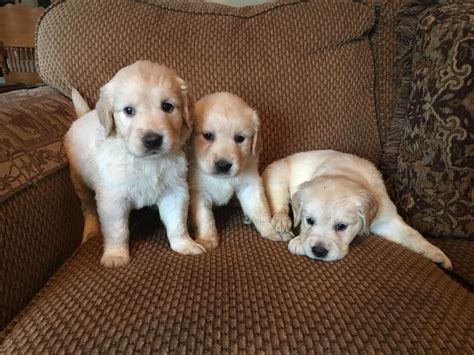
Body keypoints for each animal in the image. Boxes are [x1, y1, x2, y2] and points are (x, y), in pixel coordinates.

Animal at [64, 60, 205, 268]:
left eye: (167, 106)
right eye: (128, 110)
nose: (153, 140)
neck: (146, 162)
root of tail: (82, 116)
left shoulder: (175, 190)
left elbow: (177, 223)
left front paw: (185, 245)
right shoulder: (112, 199)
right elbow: (117, 230)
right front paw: (115, 255)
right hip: (78, 181)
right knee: (88, 207)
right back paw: (90, 230)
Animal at [189, 93, 288, 252]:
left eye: (240, 138)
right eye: (208, 135)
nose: (223, 165)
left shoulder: (250, 185)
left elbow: (261, 210)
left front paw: (272, 231)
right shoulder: (199, 193)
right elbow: (205, 219)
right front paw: (207, 239)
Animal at [262, 150, 452, 270]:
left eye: (341, 226)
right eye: (309, 221)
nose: (319, 251)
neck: (346, 174)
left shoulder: (387, 219)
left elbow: (413, 235)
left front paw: (438, 254)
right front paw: (299, 242)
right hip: (277, 178)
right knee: (279, 203)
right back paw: (281, 220)